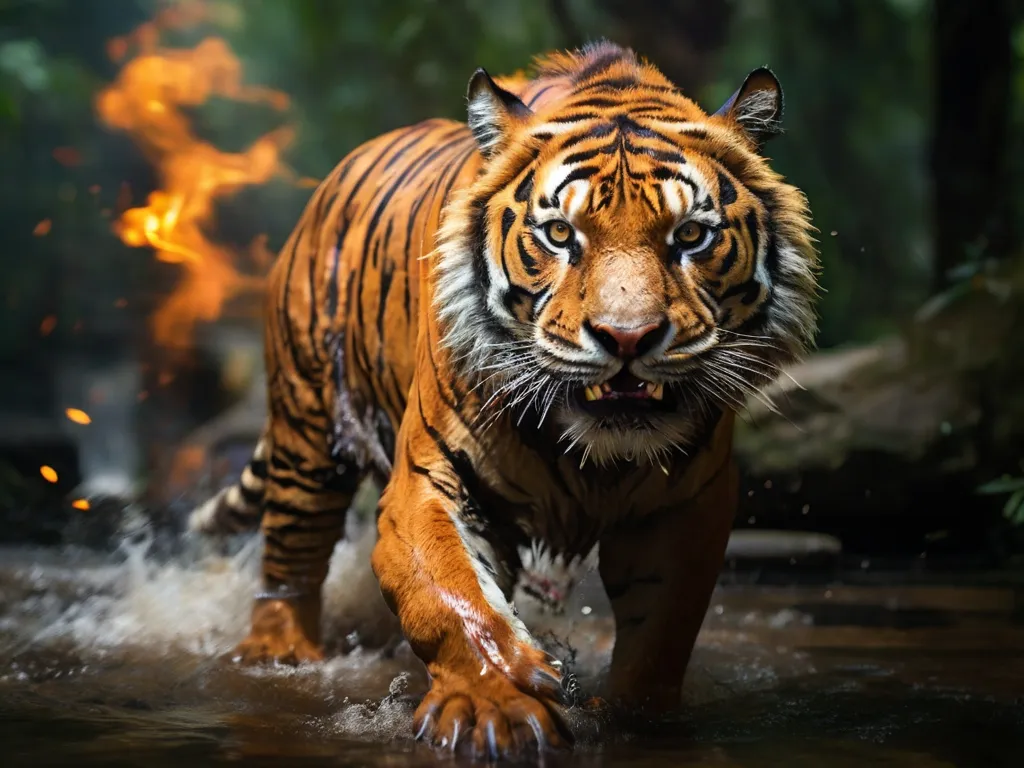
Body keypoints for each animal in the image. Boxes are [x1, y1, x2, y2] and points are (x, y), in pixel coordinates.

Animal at [190, 43, 815, 765]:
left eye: (690, 236)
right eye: (560, 234)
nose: (627, 337)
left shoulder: (686, 505)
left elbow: (659, 639)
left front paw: (630, 720)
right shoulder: (426, 481)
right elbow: (449, 596)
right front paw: (497, 707)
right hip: (306, 435)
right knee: (290, 561)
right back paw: (280, 654)